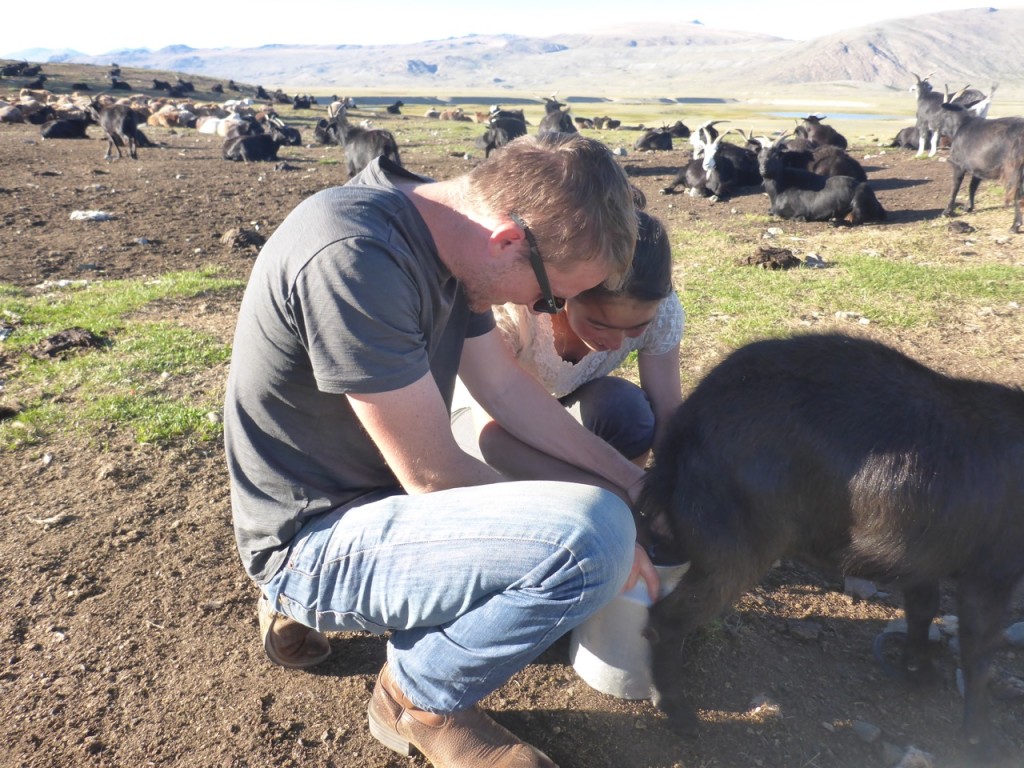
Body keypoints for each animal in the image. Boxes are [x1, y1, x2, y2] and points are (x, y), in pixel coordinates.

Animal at [638, 333, 1024, 761]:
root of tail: (689, 421)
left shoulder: (921, 558)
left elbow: (922, 610)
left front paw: (918, 672)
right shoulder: (992, 571)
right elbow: (979, 653)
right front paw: (983, 739)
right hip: (735, 553)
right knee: (665, 619)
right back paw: (678, 713)